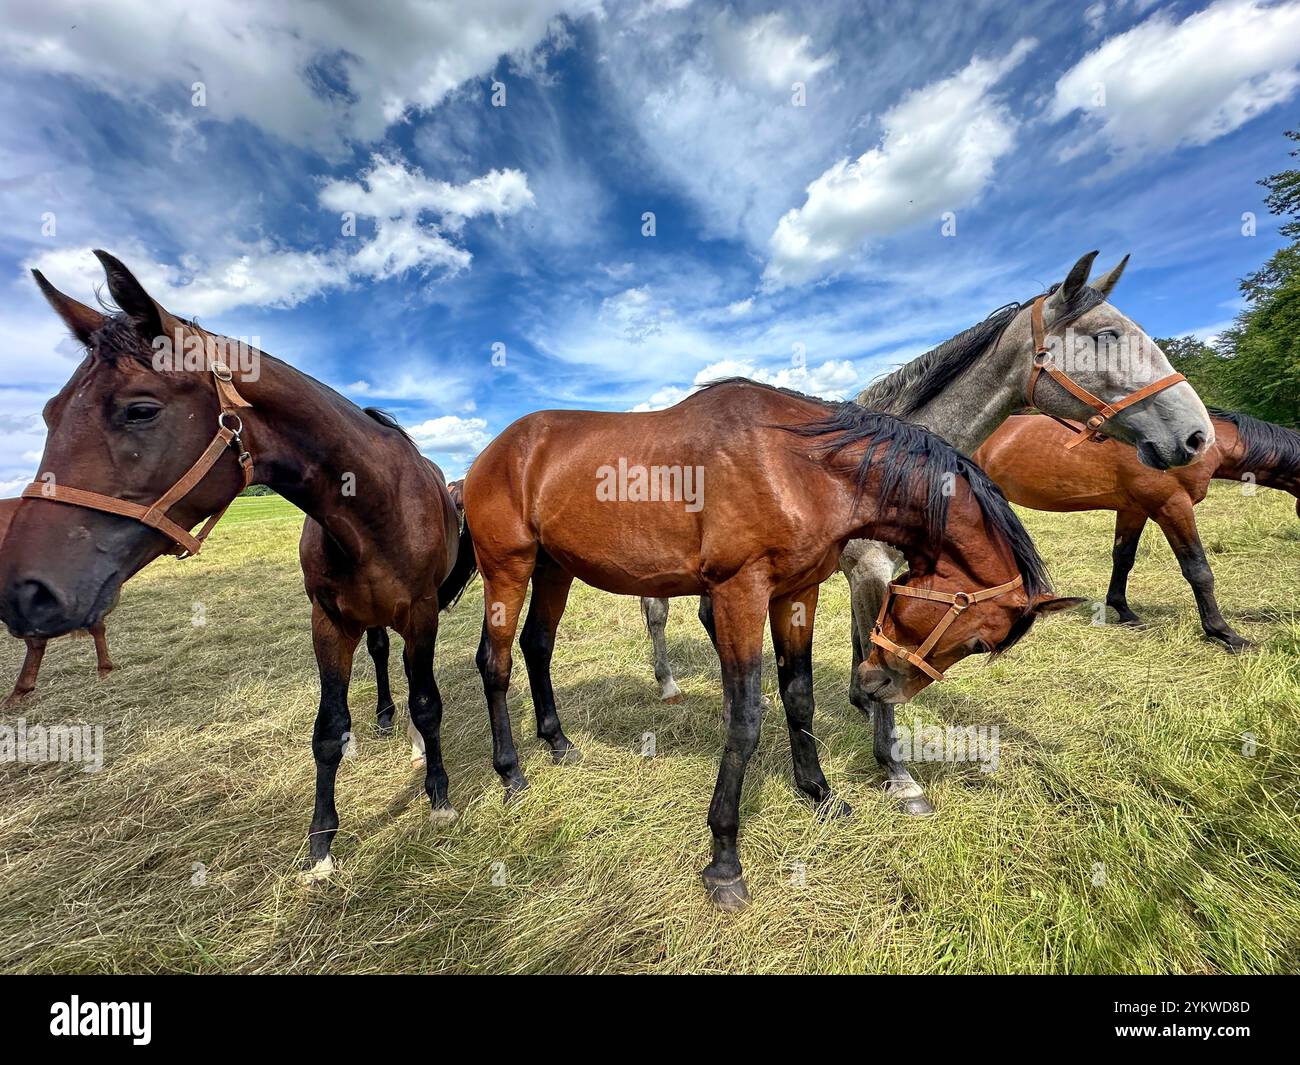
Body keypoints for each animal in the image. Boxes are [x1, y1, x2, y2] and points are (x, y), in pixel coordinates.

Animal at [462, 378, 1080, 910]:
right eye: (977, 642)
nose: (876, 682)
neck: (799, 467)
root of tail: (492, 453)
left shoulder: (796, 593)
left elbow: (798, 696)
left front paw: (820, 794)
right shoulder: (740, 592)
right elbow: (745, 718)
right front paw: (724, 861)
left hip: (553, 569)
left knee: (537, 647)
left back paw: (557, 742)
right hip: (507, 567)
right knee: (495, 662)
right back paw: (511, 773)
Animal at [641, 250, 1213, 814]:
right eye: (1105, 335)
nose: (1196, 435)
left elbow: (870, 644)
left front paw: (862, 699)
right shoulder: (869, 570)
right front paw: (897, 771)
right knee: (659, 612)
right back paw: (669, 686)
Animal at [974, 410, 1300, 651]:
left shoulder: (1134, 510)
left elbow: (1124, 559)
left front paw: (1124, 612)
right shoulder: (1172, 505)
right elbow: (1198, 571)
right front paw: (1225, 634)